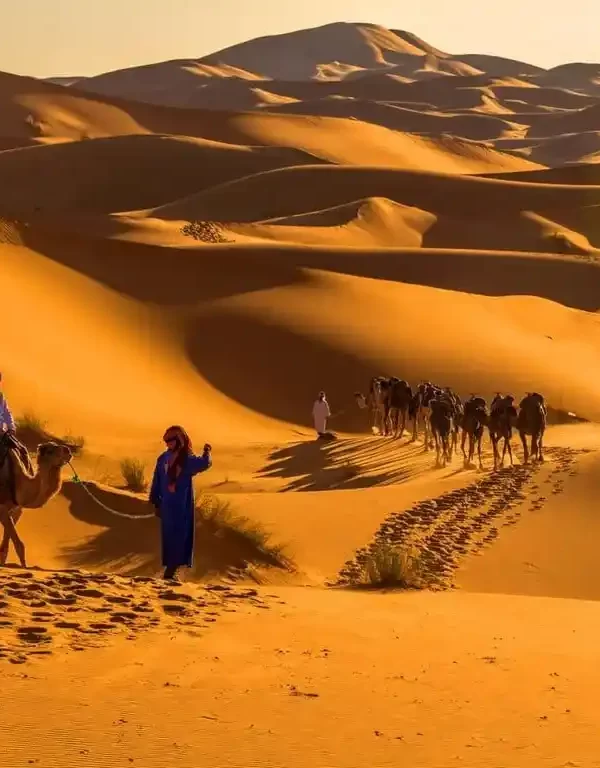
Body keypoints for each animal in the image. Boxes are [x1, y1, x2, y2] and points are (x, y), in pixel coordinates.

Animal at [0, 436, 71, 568]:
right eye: (49, 451)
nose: (68, 451)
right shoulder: (1, 507)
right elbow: (18, 544)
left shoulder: (16, 510)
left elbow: (8, 546)